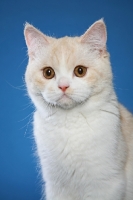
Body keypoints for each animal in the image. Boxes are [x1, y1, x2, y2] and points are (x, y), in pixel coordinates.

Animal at [23, 19, 133, 200]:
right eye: (48, 73)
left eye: (80, 71)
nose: (63, 86)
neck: (70, 123)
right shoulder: (57, 187)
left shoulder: (105, 186)